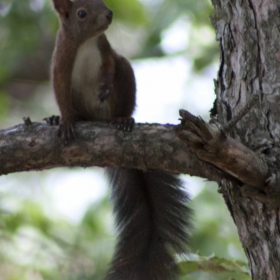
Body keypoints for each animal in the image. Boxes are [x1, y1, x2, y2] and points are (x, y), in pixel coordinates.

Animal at [50, 0, 191, 280]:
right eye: (81, 13)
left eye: (102, 2)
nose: (109, 14)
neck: (86, 42)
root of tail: (99, 119)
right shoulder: (61, 59)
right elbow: (60, 91)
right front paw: (65, 121)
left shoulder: (104, 47)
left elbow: (109, 65)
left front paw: (104, 84)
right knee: (80, 111)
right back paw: (61, 118)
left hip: (124, 80)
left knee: (120, 74)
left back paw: (123, 120)